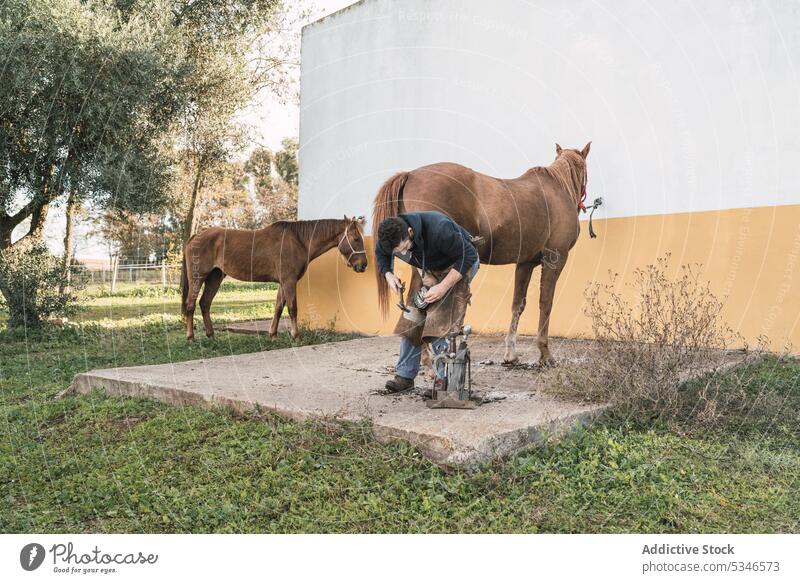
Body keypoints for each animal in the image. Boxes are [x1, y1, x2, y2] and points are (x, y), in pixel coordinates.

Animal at [181, 216, 366, 342]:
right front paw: (296, 336)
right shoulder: (289, 281)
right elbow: (292, 308)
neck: (299, 241)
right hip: (198, 277)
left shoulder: (283, 283)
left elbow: (278, 307)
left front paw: (273, 335)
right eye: (356, 239)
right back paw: (190, 338)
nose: (363, 265)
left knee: (205, 303)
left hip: (215, 277)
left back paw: (211, 336)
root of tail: (195, 237)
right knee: (191, 305)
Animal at [372, 143, 592, 364]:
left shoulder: (525, 263)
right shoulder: (555, 258)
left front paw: (510, 354)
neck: (558, 190)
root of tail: (410, 174)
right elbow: (545, 304)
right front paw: (545, 354)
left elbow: (517, 304)